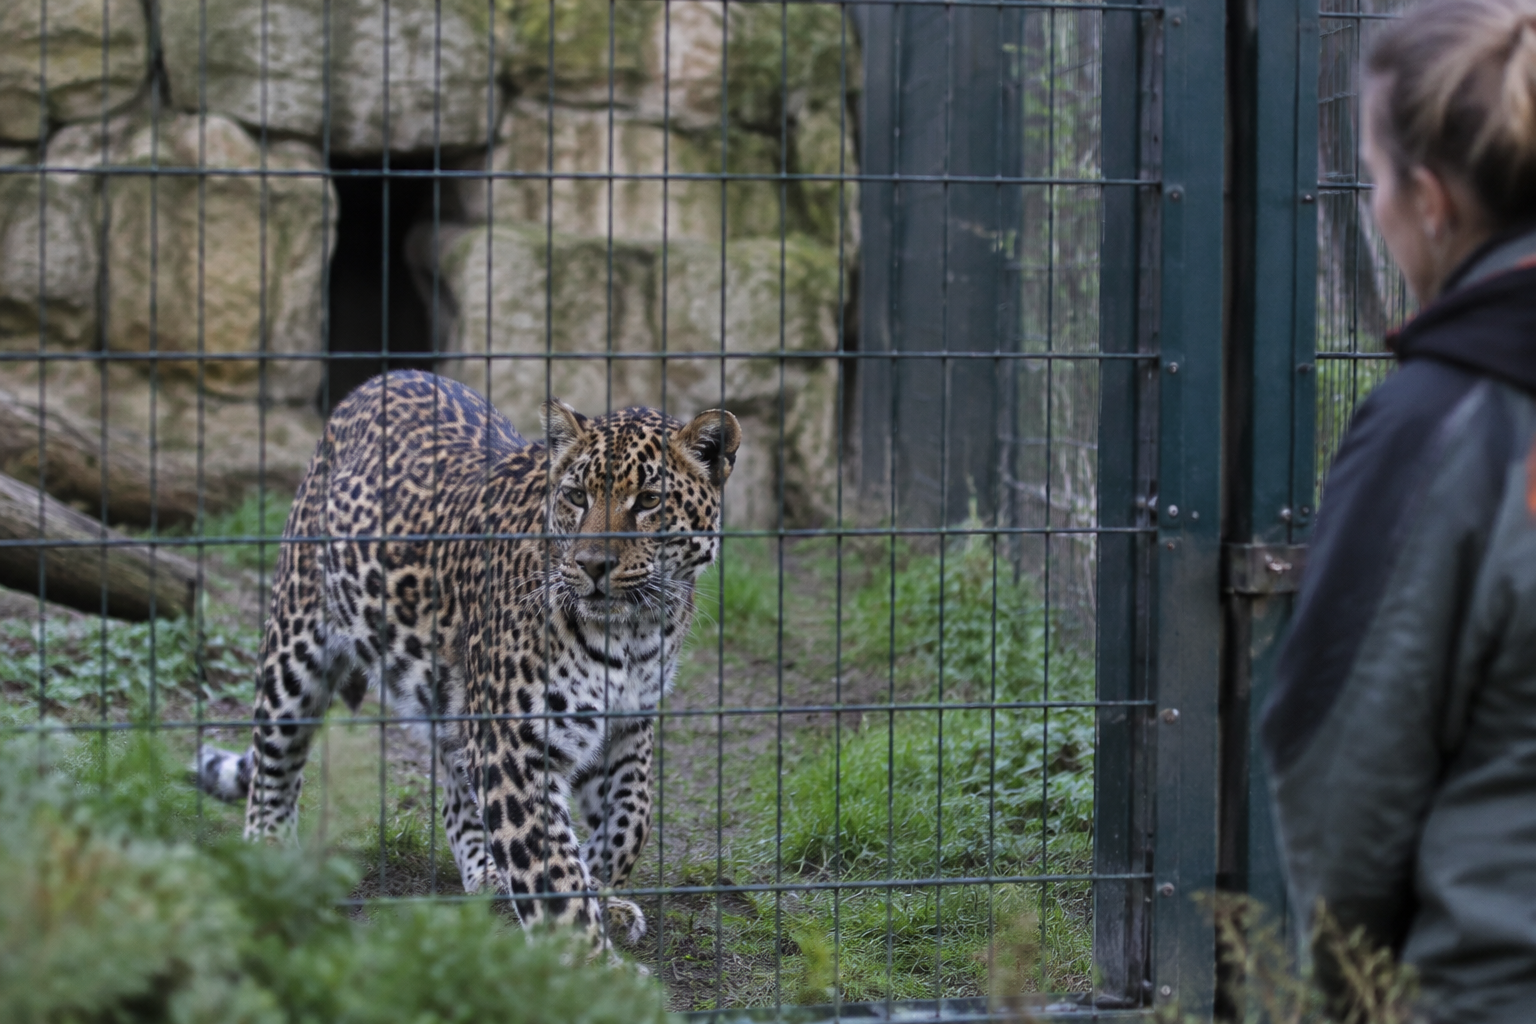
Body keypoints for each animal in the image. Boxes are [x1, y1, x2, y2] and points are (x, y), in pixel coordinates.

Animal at [194, 369, 741, 951]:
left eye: (649, 500)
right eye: (576, 495)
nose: (592, 565)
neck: (633, 631)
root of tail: (382, 377)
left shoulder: (629, 722)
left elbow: (631, 818)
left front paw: (603, 892)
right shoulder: (515, 740)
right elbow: (552, 863)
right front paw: (579, 939)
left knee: (456, 786)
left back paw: (487, 873)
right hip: (295, 646)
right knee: (272, 767)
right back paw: (267, 856)